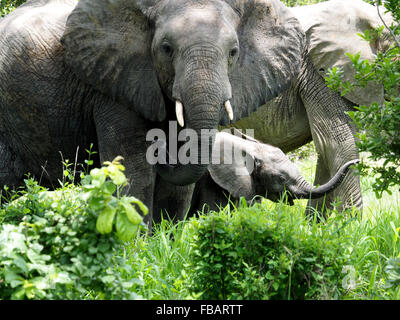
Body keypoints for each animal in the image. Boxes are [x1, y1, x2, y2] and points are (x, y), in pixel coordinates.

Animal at [0, 0, 306, 225]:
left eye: (233, 52)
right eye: (166, 49)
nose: (164, 149)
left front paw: (163, 241)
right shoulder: (114, 83)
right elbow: (133, 168)